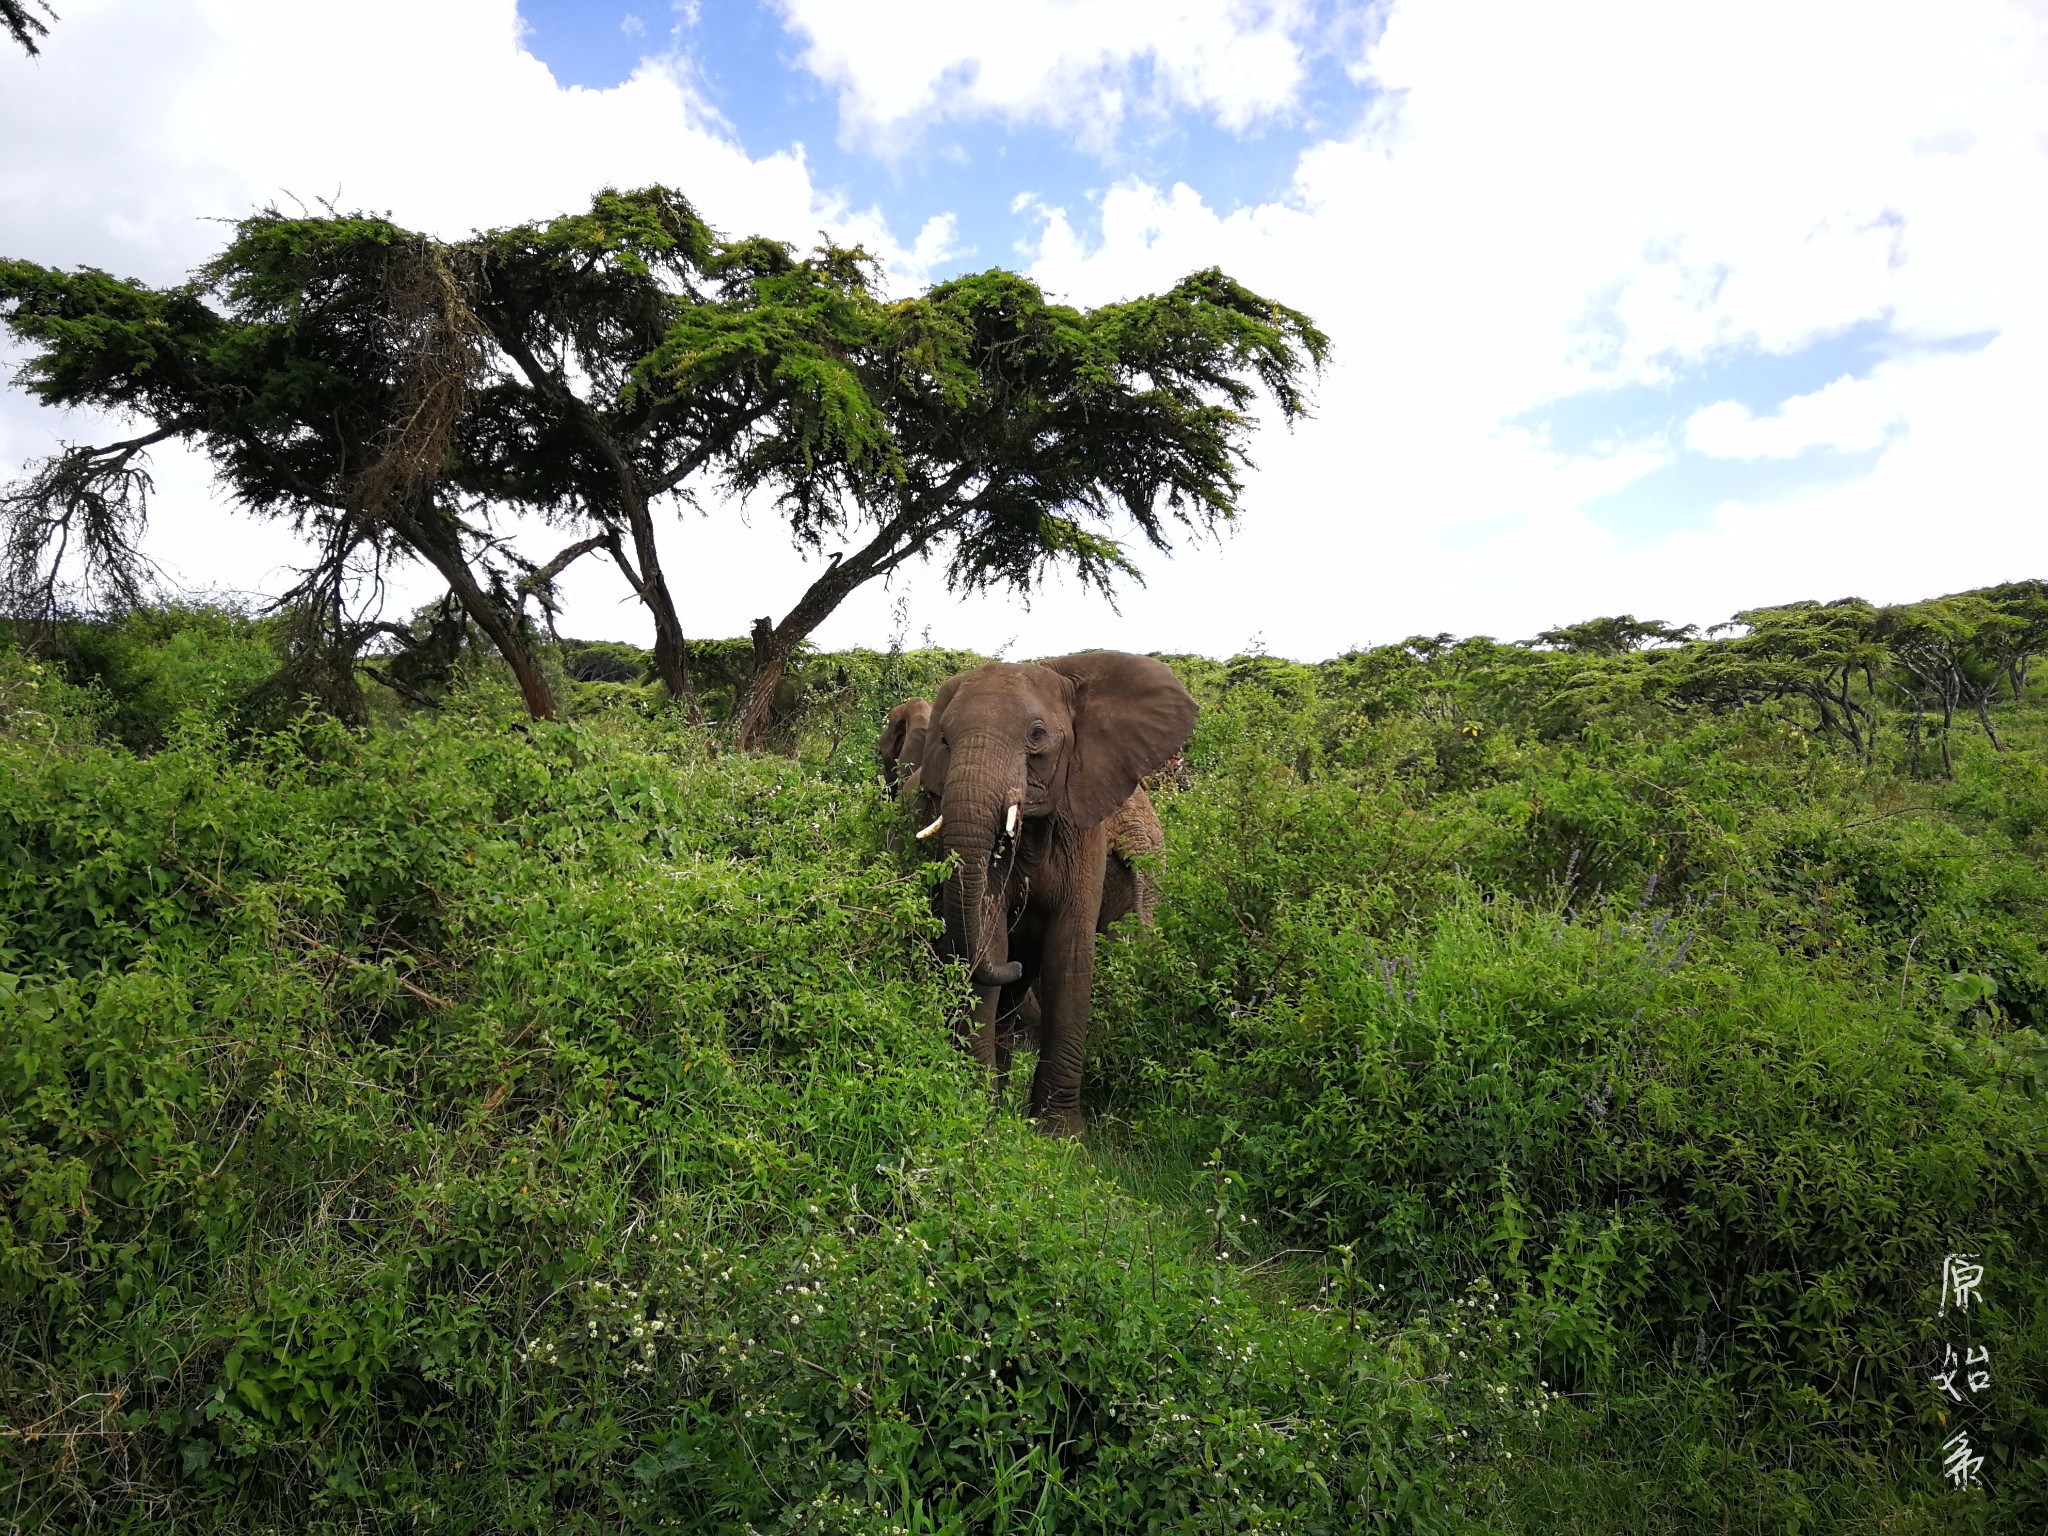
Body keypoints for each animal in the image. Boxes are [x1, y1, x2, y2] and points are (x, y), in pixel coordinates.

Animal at [917, 643, 1196, 1138]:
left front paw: (1061, 1135)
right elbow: (990, 937)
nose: (1012, 967)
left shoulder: (1084, 831)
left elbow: (1070, 952)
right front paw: (981, 1114)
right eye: (945, 741)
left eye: (1037, 735)